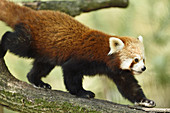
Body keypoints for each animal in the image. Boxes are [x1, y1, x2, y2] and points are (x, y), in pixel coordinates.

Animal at [0, 0, 155, 107]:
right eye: (135, 60)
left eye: (143, 59)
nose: (143, 68)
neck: (105, 56)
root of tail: (31, 13)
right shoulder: (83, 58)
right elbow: (71, 74)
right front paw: (83, 92)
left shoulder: (117, 71)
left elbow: (129, 87)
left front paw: (145, 101)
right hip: (31, 42)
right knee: (13, 40)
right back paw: (3, 45)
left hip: (47, 52)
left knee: (40, 67)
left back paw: (38, 82)